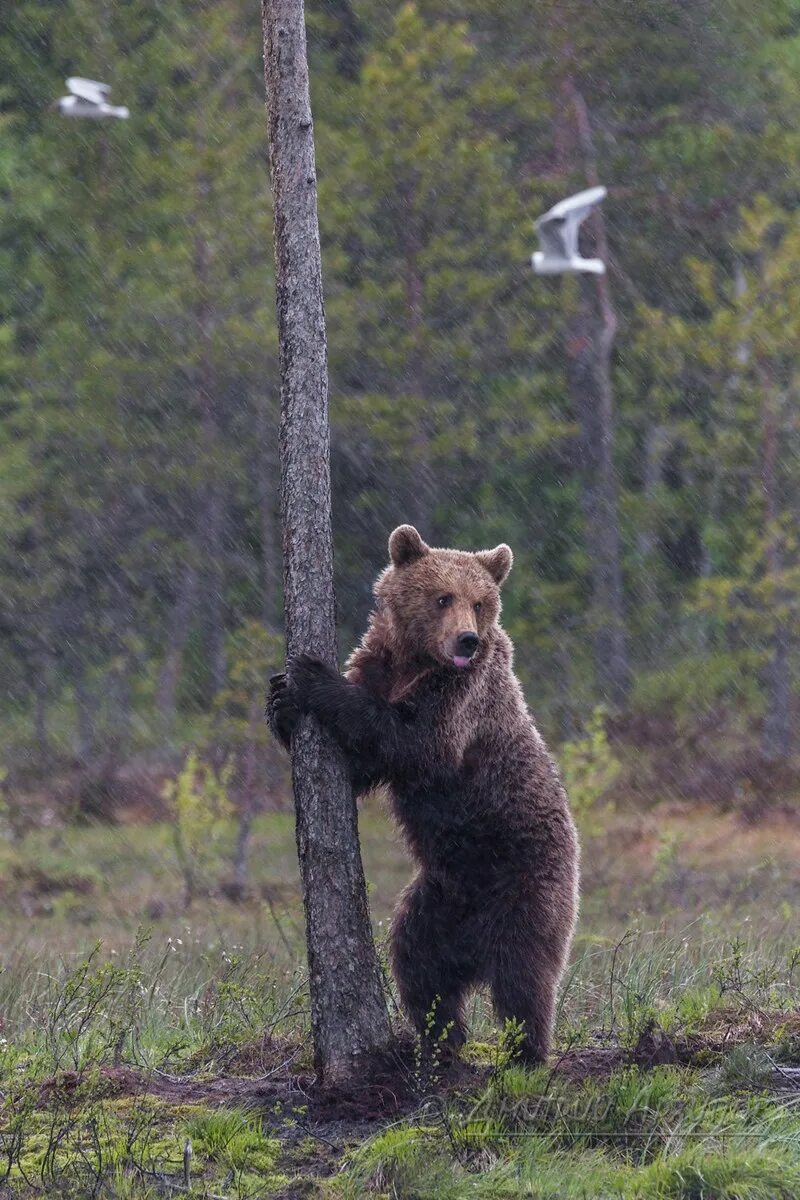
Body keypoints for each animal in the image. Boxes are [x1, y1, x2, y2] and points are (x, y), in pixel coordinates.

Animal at [271, 525, 582, 1060]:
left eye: (479, 602)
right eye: (442, 597)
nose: (467, 638)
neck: (416, 660)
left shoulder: (463, 697)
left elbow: (410, 740)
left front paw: (313, 675)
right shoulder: (381, 663)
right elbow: (359, 766)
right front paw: (279, 700)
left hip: (530, 885)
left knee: (524, 974)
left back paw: (526, 1052)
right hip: (439, 899)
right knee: (419, 962)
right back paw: (440, 1041)